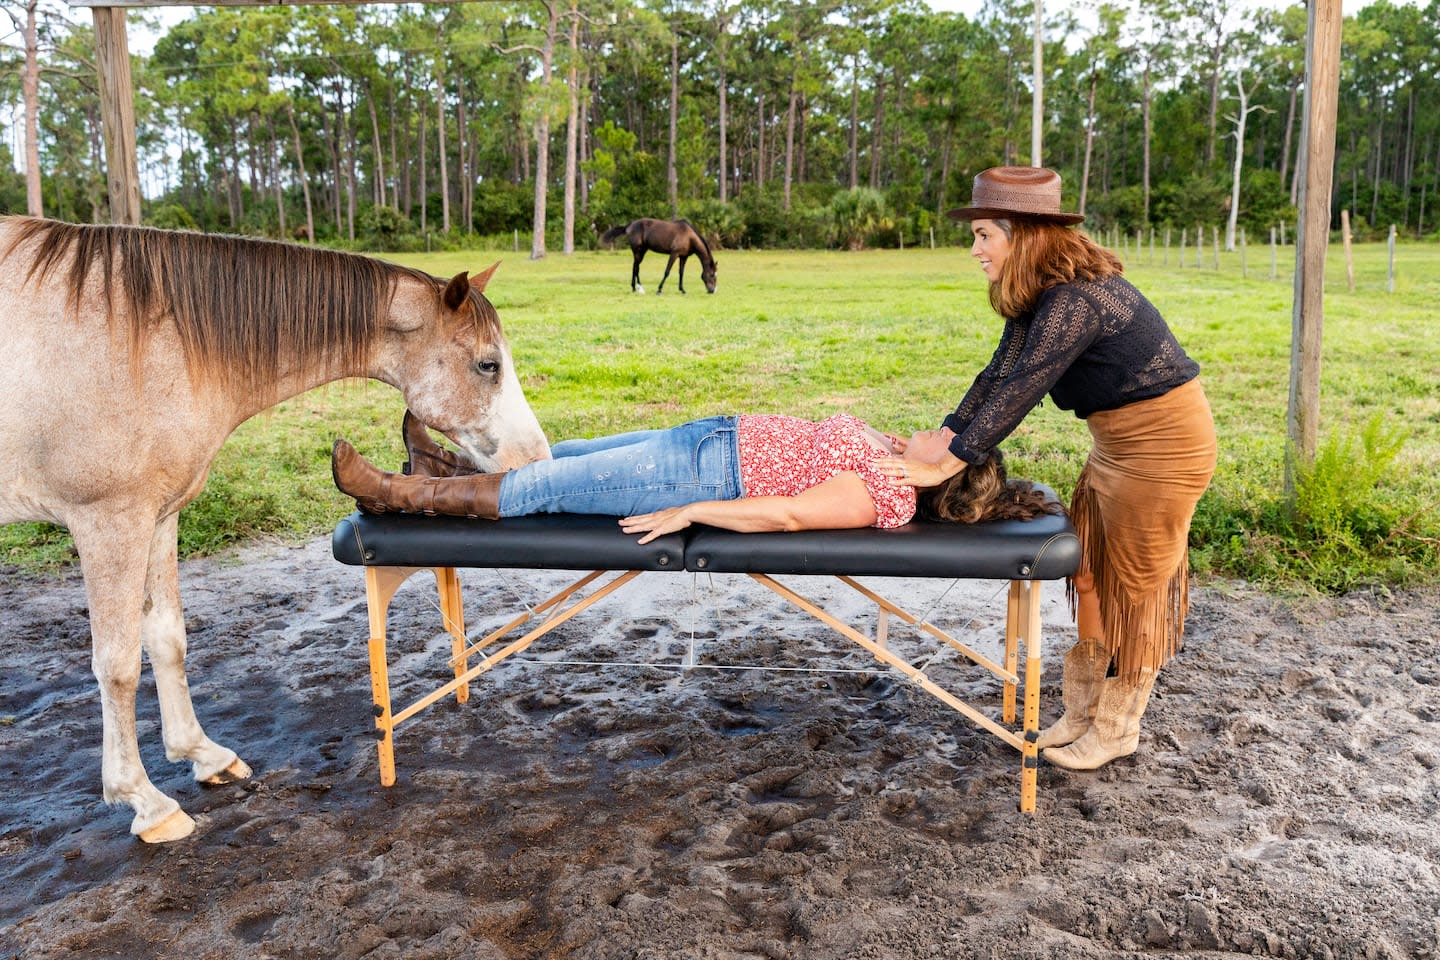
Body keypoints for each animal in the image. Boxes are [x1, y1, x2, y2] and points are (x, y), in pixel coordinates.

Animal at [0, 216, 551, 843]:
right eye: (488, 365)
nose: (537, 458)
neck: (152, 339)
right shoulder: (109, 519)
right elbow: (115, 665)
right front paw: (145, 801)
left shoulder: (157, 516)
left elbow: (166, 638)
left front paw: (203, 756)